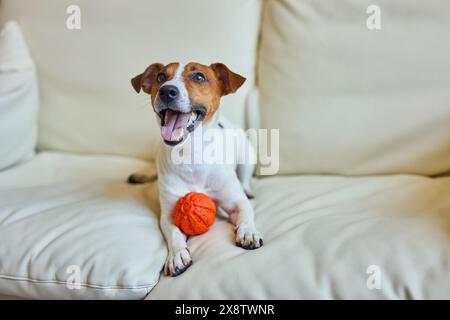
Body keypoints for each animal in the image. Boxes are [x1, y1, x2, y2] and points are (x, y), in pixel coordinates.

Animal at [128, 63, 262, 278]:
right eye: (160, 77)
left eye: (199, 76)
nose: (167, 90)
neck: (191, 154)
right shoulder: (168, 215)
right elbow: (174, 233)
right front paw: (176, 255)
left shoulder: (236, 202)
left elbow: (245, 213)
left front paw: (248, 232)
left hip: (247, 155)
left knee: (245, 177)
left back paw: (247, 188)